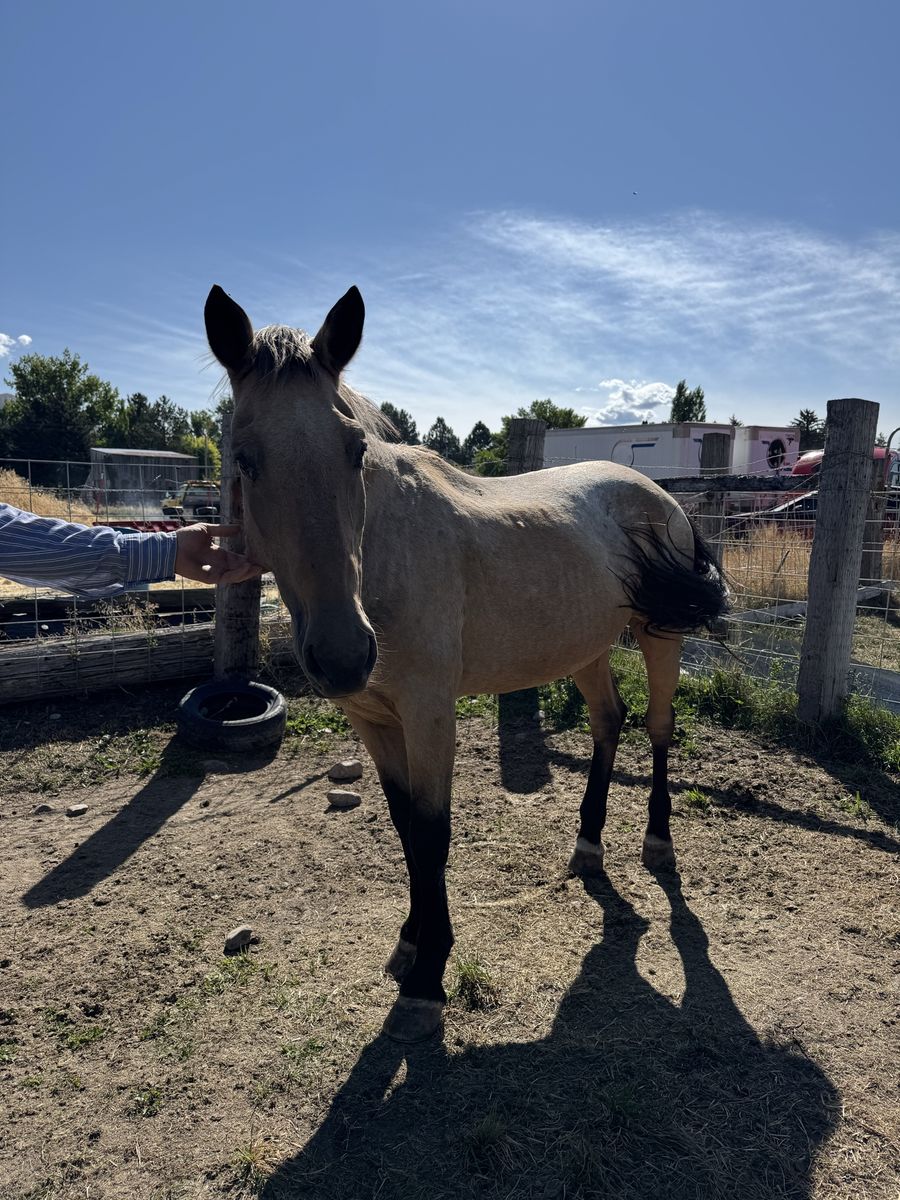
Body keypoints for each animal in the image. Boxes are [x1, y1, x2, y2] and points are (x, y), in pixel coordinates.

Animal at [204, 283, 730, 1042]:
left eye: (354, 451)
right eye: (244, 458)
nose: (343, 654)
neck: (383, 560)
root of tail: (657, 492)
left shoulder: (430, 715)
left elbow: (432, 833)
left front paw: (428, 977)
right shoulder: (372, 719)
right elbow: (404, 829)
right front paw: (410, 942)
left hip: (659, 636)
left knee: (658, 728)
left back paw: (657, 842)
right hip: (585, 646)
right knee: (609, 722)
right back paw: (587, 845)